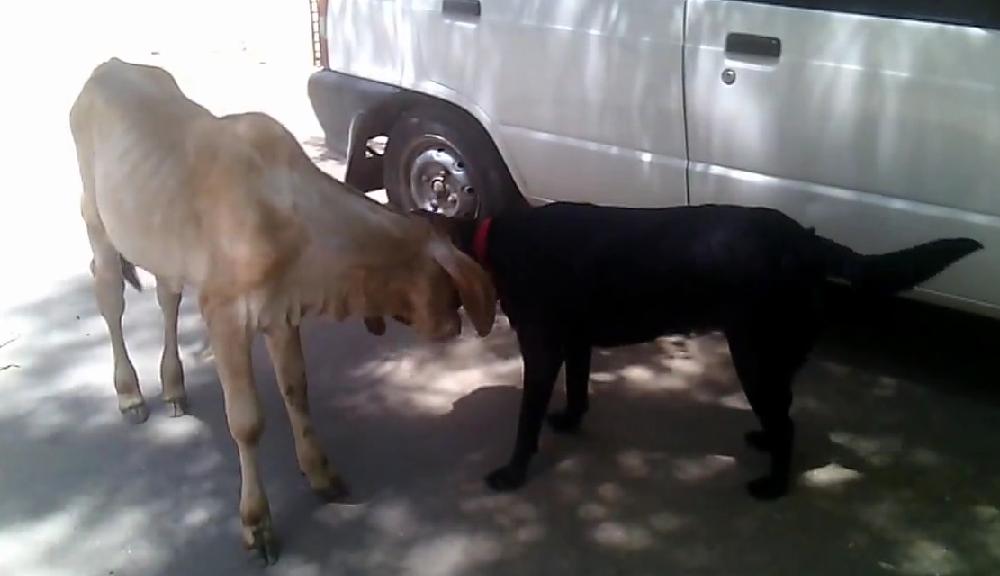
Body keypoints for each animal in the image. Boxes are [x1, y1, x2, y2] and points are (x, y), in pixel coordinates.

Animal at [68, 58, 494, 564]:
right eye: (450, 285)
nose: (452, 325)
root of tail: (109, 67)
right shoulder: (225, 317)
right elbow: (247, 422)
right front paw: (257, 523)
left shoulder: (280, 314)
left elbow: (297, 390)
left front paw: (321, 473)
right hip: (96, 222)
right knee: (109, 297)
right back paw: (130, 393)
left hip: (161, 247)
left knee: (167, 299)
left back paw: (173, 385)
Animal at [418, 202, 980, 500]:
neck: (494, 239)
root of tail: (807, 241)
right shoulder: (576, 344)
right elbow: (578, 391)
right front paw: (572, 421)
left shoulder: (541, 351)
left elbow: (525, 422)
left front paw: (512, 473)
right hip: (777, 354)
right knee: (783, 414)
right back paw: (763, 442)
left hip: (753, 353)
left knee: (787, 424)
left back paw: (773, 486)